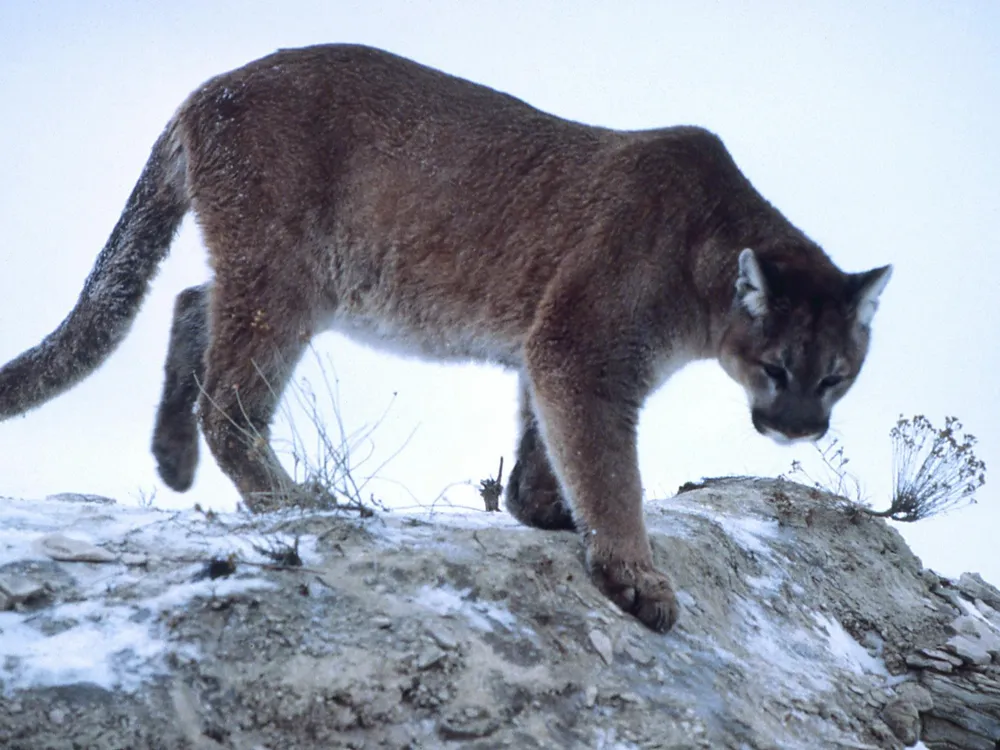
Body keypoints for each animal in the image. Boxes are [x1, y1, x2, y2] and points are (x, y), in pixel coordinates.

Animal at [0, 45, 892, 636]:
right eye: (776, 367)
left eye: (837, 376)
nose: (801, 429)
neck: (704, 261)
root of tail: (209, 85)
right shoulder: (582, 349)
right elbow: (610, 469)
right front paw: (636, 576)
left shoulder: (551, 347)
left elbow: (549, 442)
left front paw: (543, 508)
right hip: (288, 275)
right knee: (231, 400)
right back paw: (295, 498)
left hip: (290, 276)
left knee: (192, 300)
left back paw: (171, 456)